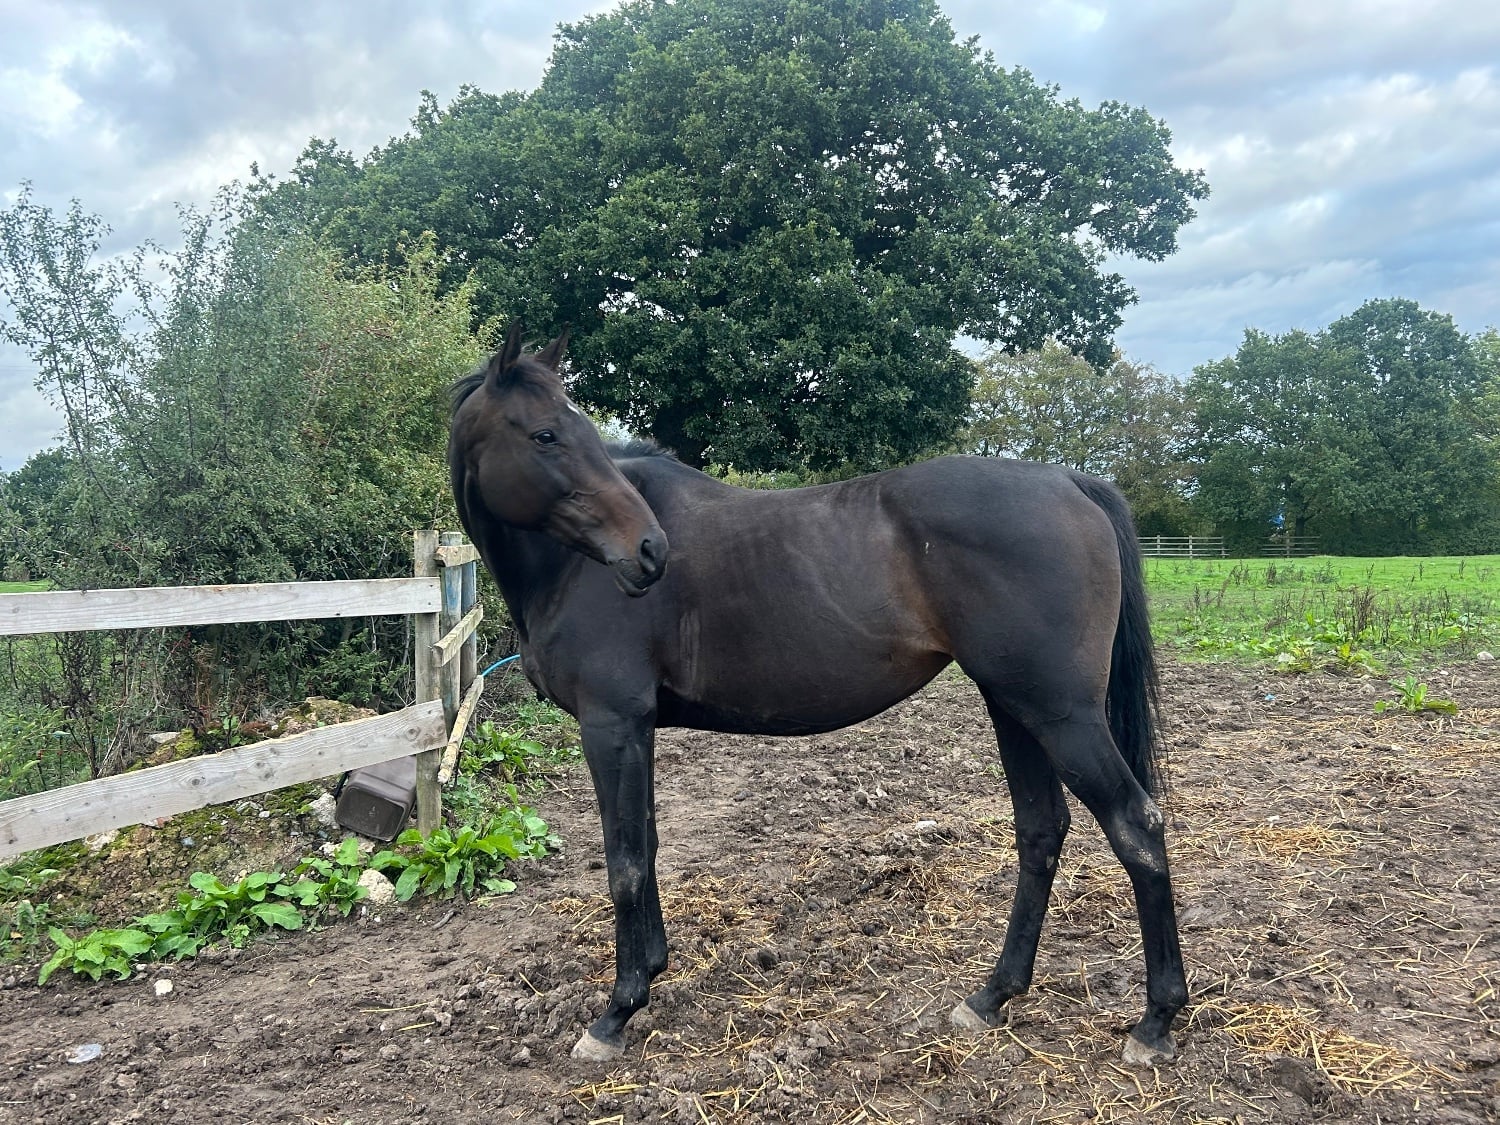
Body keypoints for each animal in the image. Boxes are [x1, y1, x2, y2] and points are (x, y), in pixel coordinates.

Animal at [448, 326, 1186, 1067]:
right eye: (546, 435)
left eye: (577, 433)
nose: (648, 551)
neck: (570, 568)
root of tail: (1069, 480)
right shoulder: (637, 728)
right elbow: (647, 847)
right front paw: (651, 974)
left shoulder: (612, 723)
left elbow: (625, 861)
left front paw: (617, 1011)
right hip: (1014, 706)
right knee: (1041, 830)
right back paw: (991, 997)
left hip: (1061, 714)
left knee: (1135, 826)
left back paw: (1155, 1021)